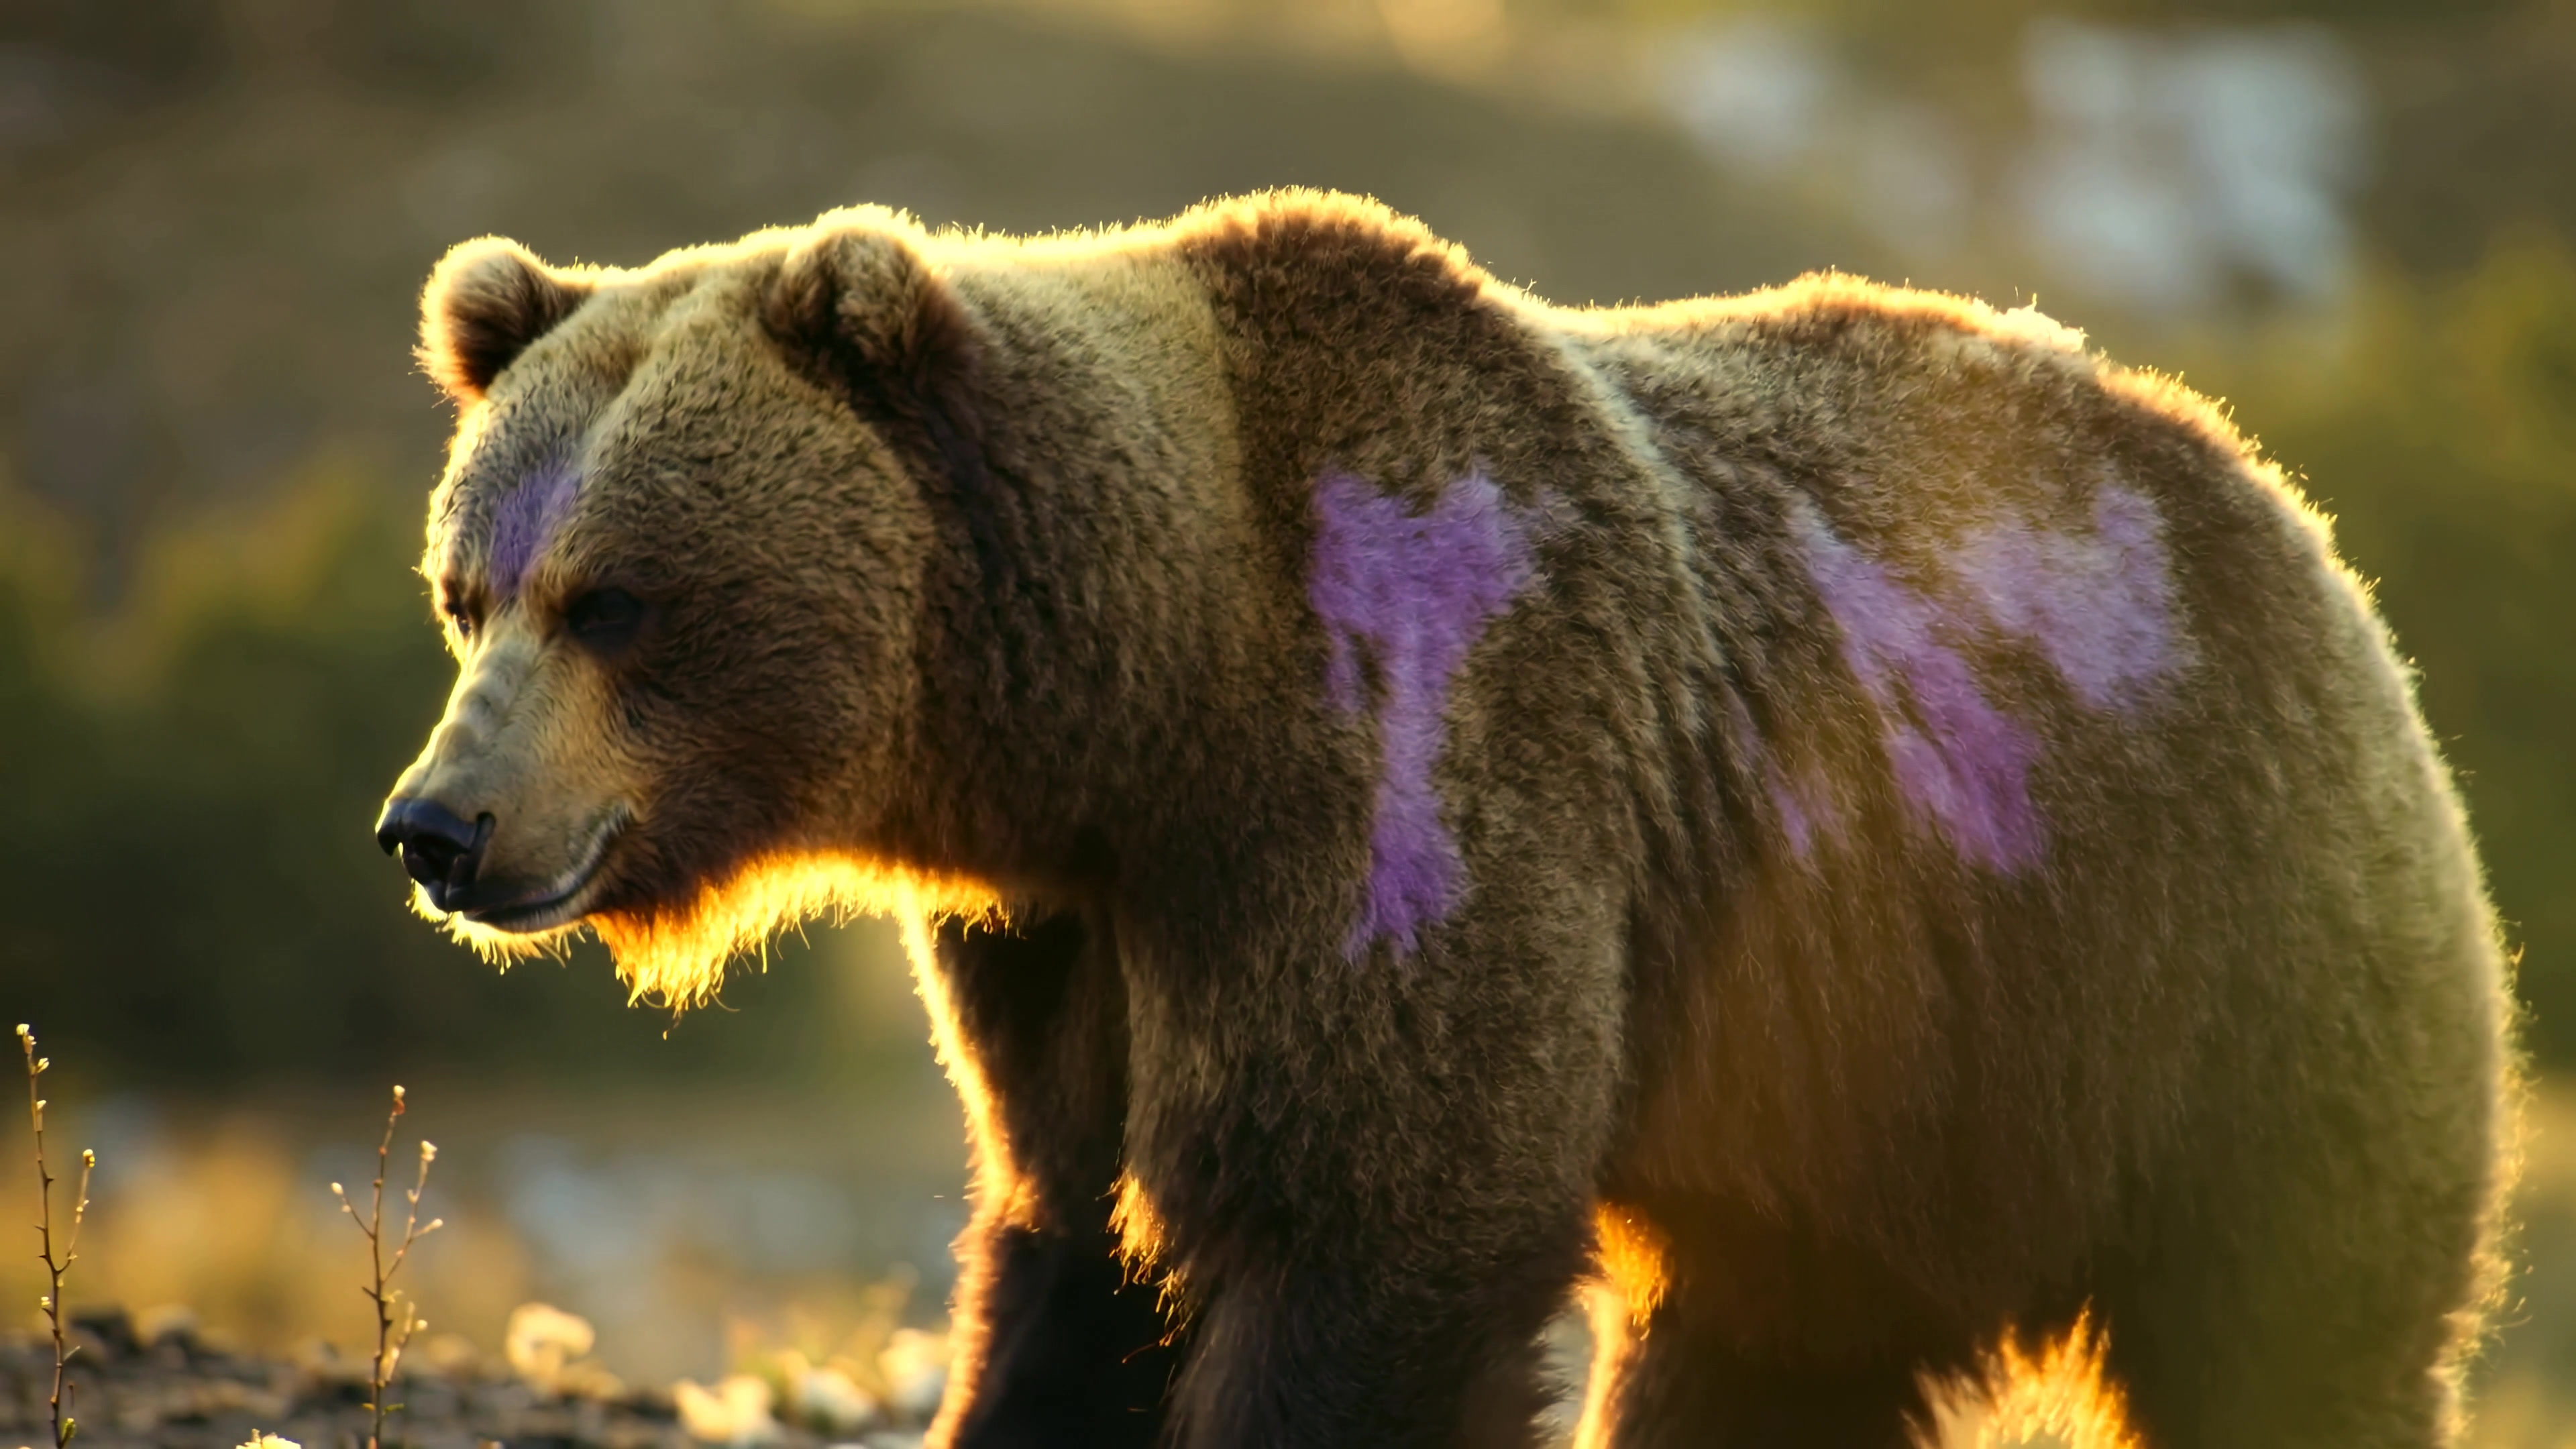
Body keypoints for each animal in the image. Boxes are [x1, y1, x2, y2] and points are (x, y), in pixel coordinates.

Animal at [374, 191, 2514, 1449]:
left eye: (617, 597)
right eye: (471, 589)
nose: (437, 825)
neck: (1143, 704)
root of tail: (2274, 500)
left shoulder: (1408, 771)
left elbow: (1379, 1221)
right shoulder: (1070, 938)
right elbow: (1075, 1239)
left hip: (2207, 947)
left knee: (2299, 1320)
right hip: (1880, 1078)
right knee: (1774, 1343)